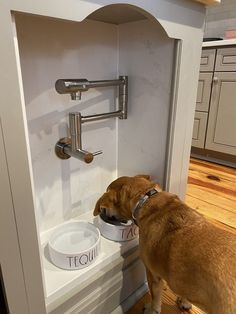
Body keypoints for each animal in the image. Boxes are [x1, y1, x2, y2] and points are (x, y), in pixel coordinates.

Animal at [93, 175, 236, 312]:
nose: (103, 211)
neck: (145, 198)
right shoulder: (183, 280)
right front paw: (184, 301)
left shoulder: (152, 273)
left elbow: (155, 296)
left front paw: (151, 309)